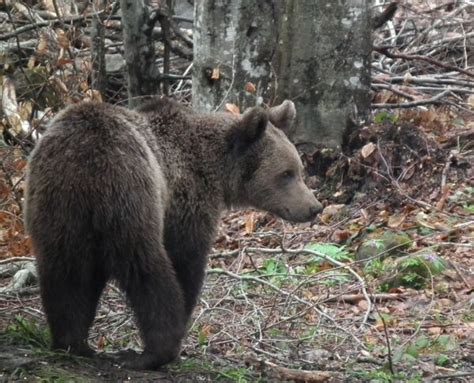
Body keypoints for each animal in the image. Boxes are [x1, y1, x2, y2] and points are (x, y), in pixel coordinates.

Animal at [25, 97, 322, 370]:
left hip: (57, 208)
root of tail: (86, 163)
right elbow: (186, 261)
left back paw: (72, 343)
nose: (314, 207)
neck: (216, 168)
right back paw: (154, 353)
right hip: (131, 196)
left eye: (298, 170)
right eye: (286, 173)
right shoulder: (185, 201)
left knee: (63, 274)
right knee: (148, 272)